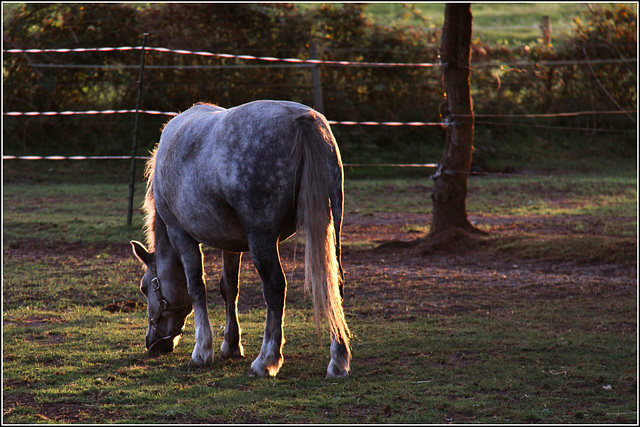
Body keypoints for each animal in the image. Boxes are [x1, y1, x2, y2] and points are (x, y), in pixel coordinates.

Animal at [130, 100, 350, 378]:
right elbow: (228, 288)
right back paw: (338, 359)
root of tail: (304, 119)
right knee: (334, 285)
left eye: (145, 287)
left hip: (262, 238)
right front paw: (231, 344)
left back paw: (266, 360)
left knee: (275, 288)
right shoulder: (231, 243)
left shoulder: (181, 234)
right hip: (332, 226)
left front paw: (203, 352)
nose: (153, 343)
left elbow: (196, 287)